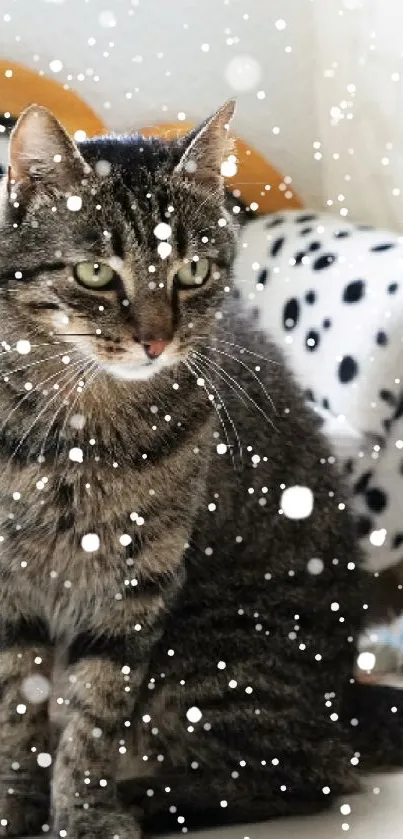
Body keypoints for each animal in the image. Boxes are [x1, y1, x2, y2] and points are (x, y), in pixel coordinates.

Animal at [0, 101, 368, 836]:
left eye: (192, 270)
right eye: (95, 273)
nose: (156, 339)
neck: (81, 434)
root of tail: (345, 701)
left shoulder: (138, 582)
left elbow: (94, 717)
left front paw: (85, 814)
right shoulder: (9, 584)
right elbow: (18, 706)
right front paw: (17, 804)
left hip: (211, 650)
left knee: (302, 774)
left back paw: (150, 797)